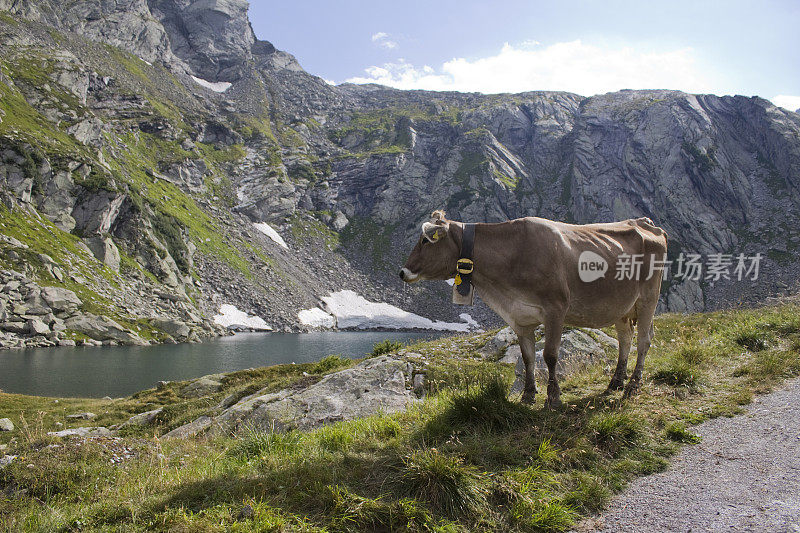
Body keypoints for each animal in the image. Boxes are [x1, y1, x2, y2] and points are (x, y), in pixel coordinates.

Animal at [400, 210, 668, 406]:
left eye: (425, 240)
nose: (402, 272)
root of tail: (645, 222)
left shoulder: (556, 309)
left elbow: (549, 355)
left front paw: (553, 396)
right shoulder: (519, 318)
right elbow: (527, 356)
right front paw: (528, 394)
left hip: (648, 298)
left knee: (644, 340)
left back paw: (632, 385)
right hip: (622, 306)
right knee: (626, 338)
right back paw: (616, 381)